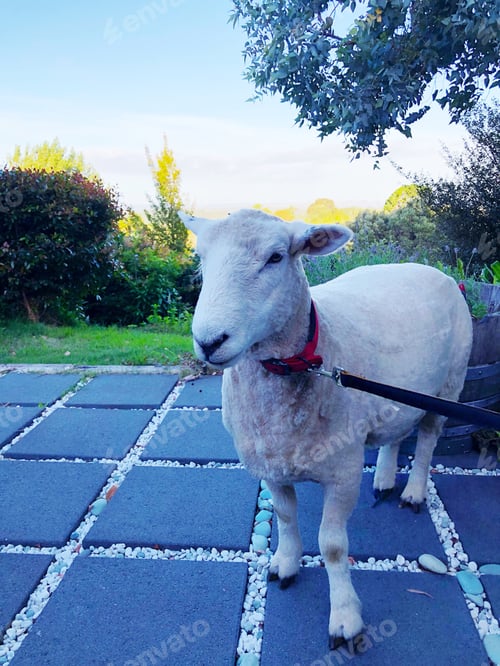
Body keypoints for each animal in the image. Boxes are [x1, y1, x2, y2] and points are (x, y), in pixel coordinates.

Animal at [180, 208, 472, 649]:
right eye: (200, 258)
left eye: (276, 257)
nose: (210, 341)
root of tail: (434, 271)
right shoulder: (271, 466)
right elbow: (285, 517)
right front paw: (285, 564)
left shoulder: (343, 471)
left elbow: (333, 547)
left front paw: (345, 618)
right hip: (398, 391)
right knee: (396, 433)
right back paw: (385, 479)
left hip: (450, 383)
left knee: (427, 439)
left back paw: (413, 491)